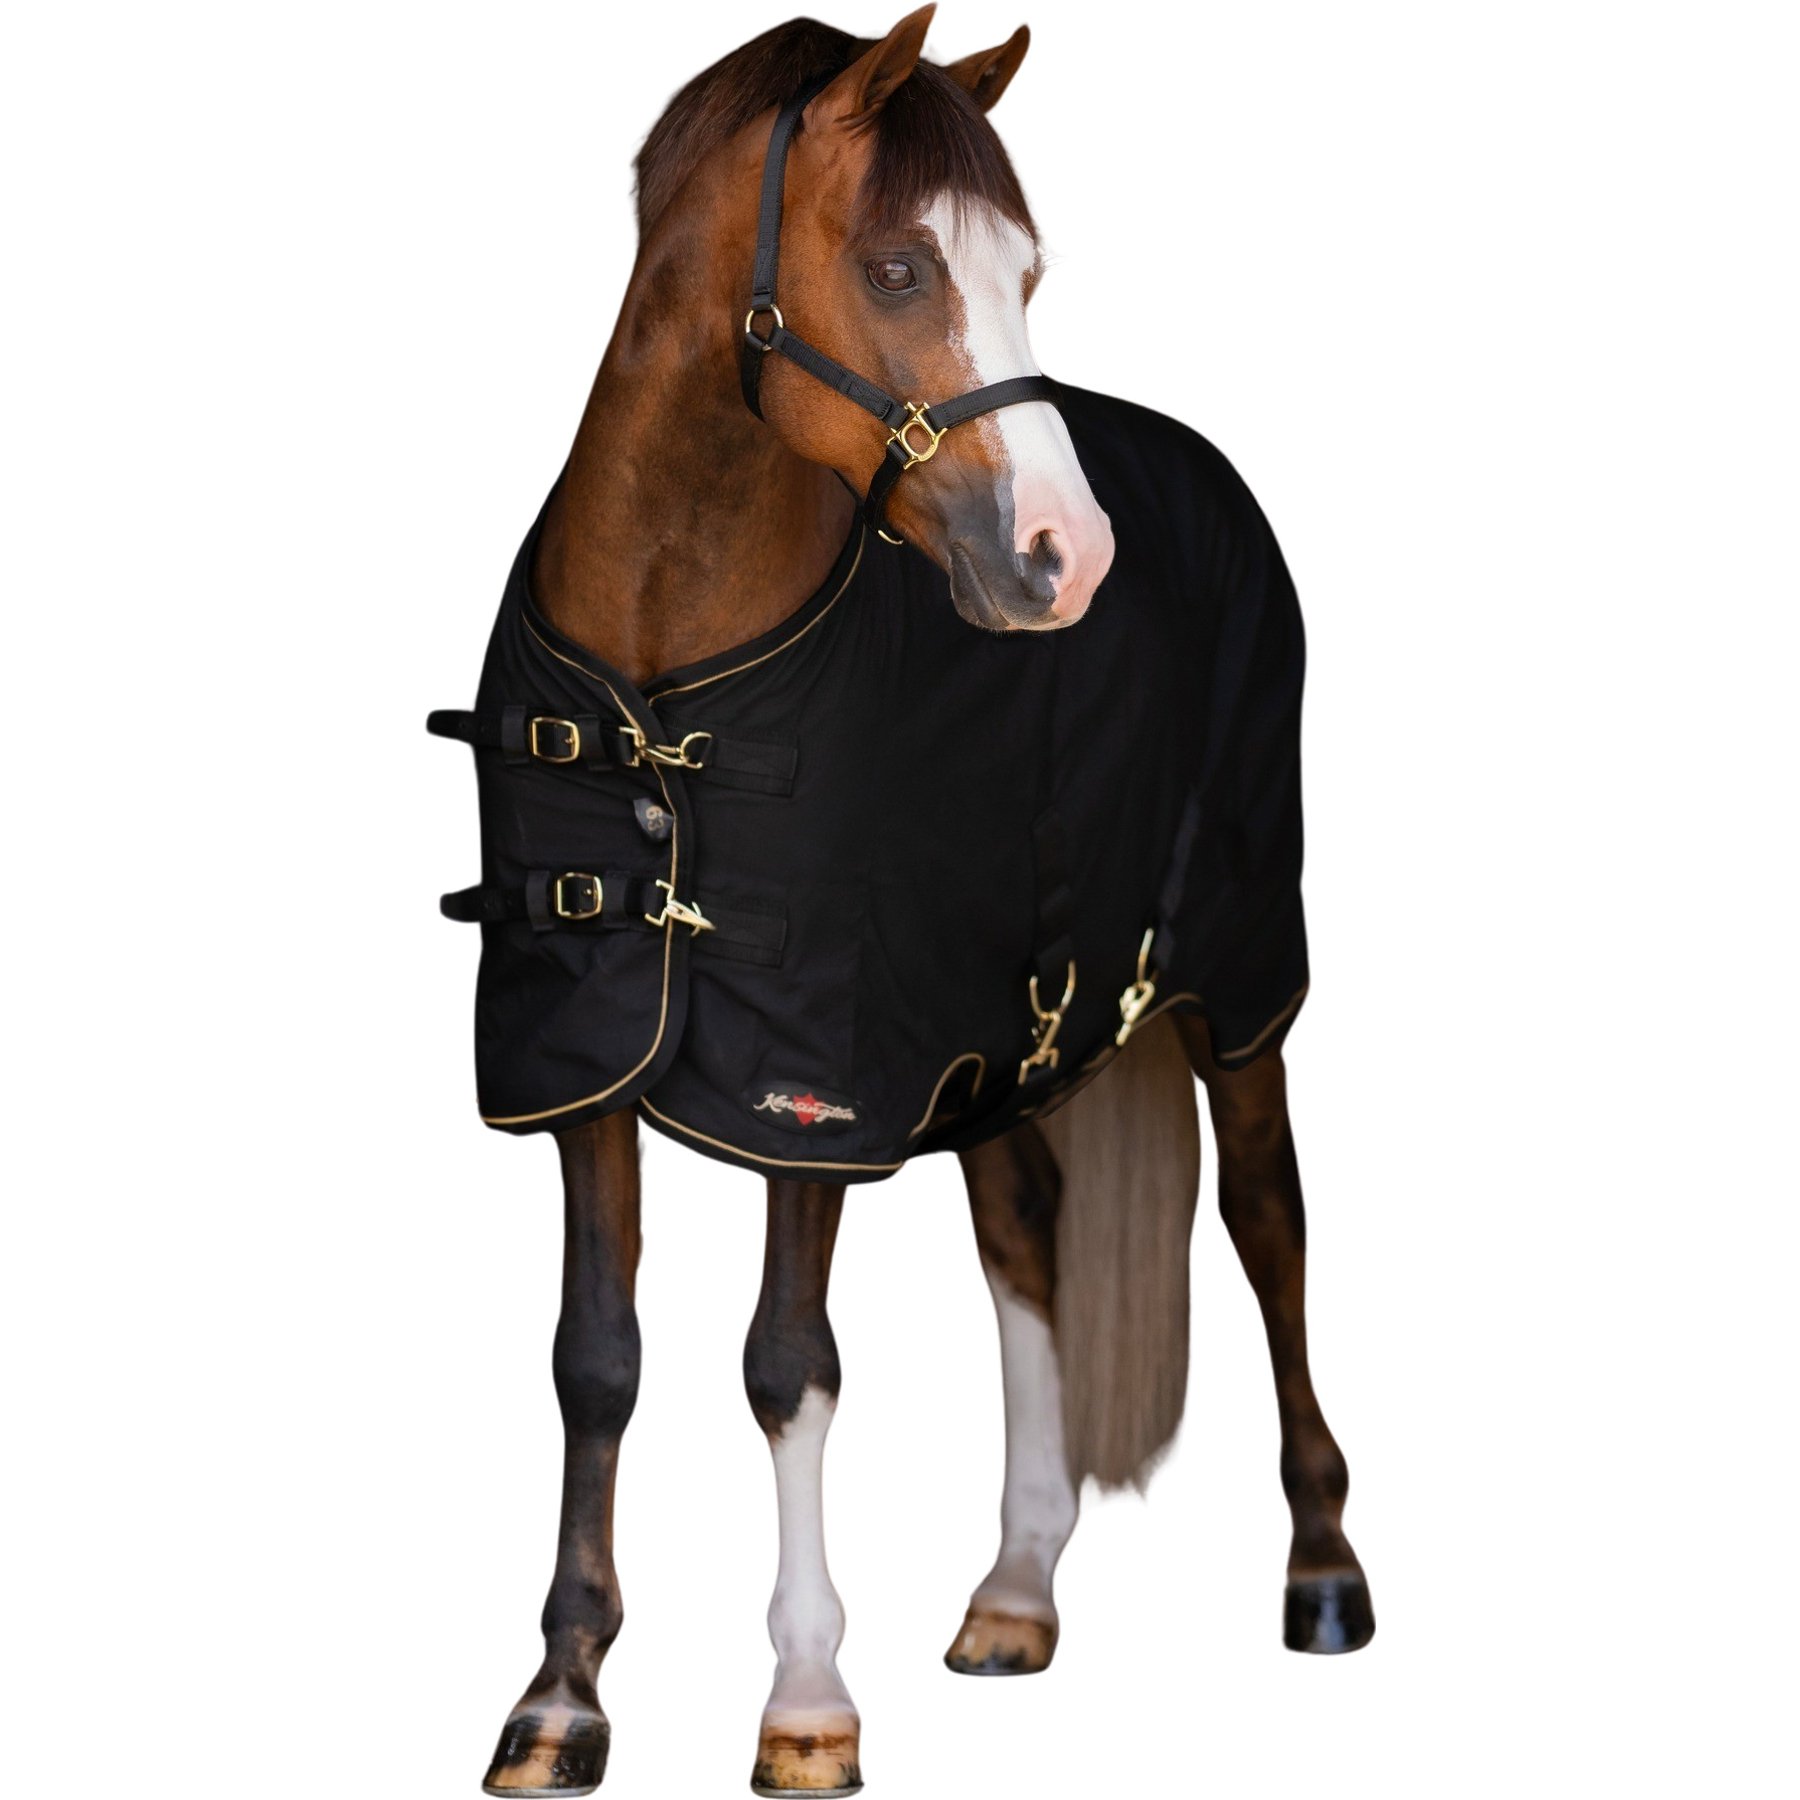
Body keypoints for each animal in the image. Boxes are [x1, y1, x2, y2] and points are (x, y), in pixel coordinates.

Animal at [433, 11, 1374, 1795]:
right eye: (894, 264)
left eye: (1027, 268)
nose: (1065, 556)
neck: (668, 679)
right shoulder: (582, 1058)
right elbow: (597, 1362)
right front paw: (562, 1698)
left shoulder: (816, 1083)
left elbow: (787, 1365)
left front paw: (807, 1704)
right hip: (1014, 1019)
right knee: (1028, 1240)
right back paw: (1015, 1593)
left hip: (1235, 983)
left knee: (1271, 1229)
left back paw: (1324, 1572)